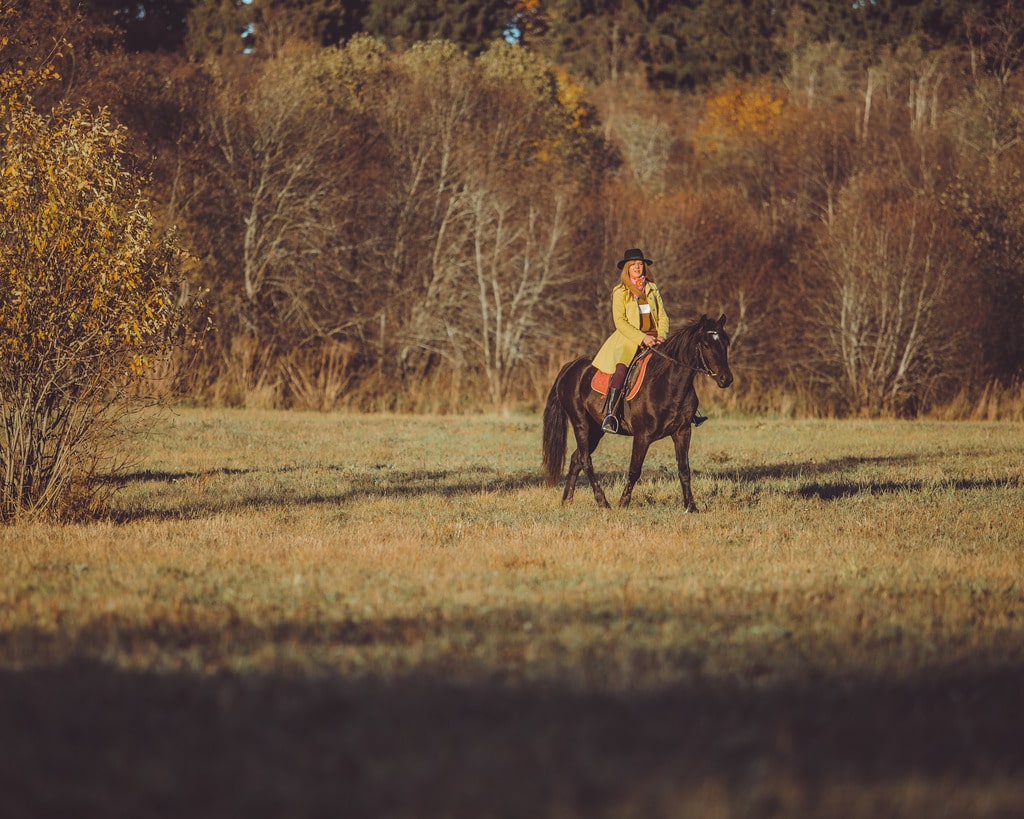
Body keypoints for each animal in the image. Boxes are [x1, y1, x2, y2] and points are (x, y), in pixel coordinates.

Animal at [540, 317, 733, 507]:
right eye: (706, 345)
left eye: (726, 343)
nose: (726, 379)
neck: (668, 384)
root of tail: (570, 366)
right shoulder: (642, 435)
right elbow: (634, 470)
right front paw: (623, 503)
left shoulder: (683, 431)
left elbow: (684, 469)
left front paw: (691, 507)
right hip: (581, 424)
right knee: (585, 460)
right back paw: (602, 501)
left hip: (595, 430)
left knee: (576, 459)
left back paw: (567, 500)